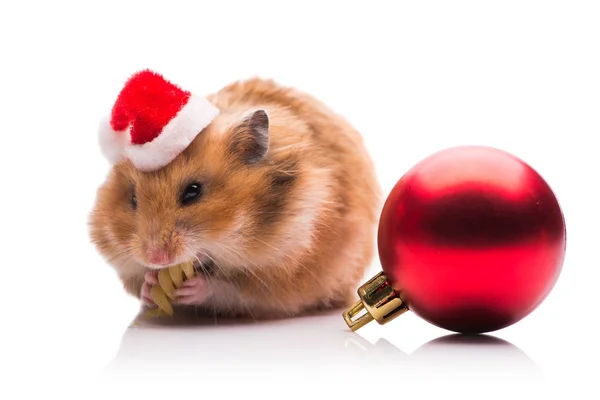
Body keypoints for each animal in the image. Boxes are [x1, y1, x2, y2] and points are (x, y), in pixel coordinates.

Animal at [88, 78, 380, 320]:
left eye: (193, 191)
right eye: (133, 198)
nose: (156, 258)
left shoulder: (281, 274)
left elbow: (230, 288)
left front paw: (192, 287)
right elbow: (139, 282)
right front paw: (150, 284)